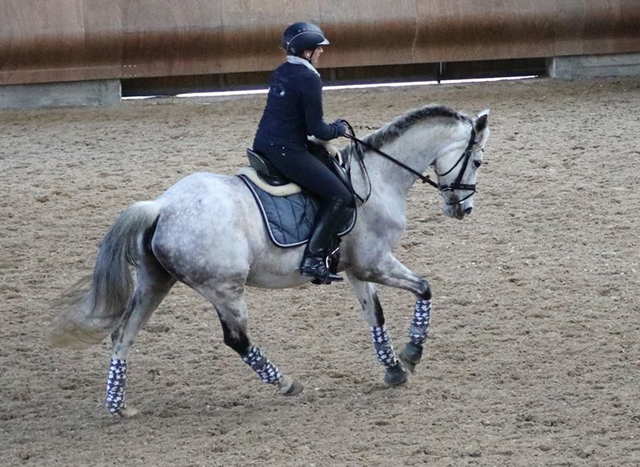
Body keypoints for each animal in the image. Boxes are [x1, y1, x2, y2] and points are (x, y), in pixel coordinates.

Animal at [51, 103, 490, 416]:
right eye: (478, 161)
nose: (464, 209)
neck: (378, 178)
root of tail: (161, 206)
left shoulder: (355, 269)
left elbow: (375, 315)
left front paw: (394, 368)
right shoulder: (375, 263)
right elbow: (424, 288)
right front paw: (412, 353)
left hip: (155, 282)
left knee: (123, 334)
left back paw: (118, 407)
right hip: (225, 289)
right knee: (237, 340)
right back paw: (285, 383)